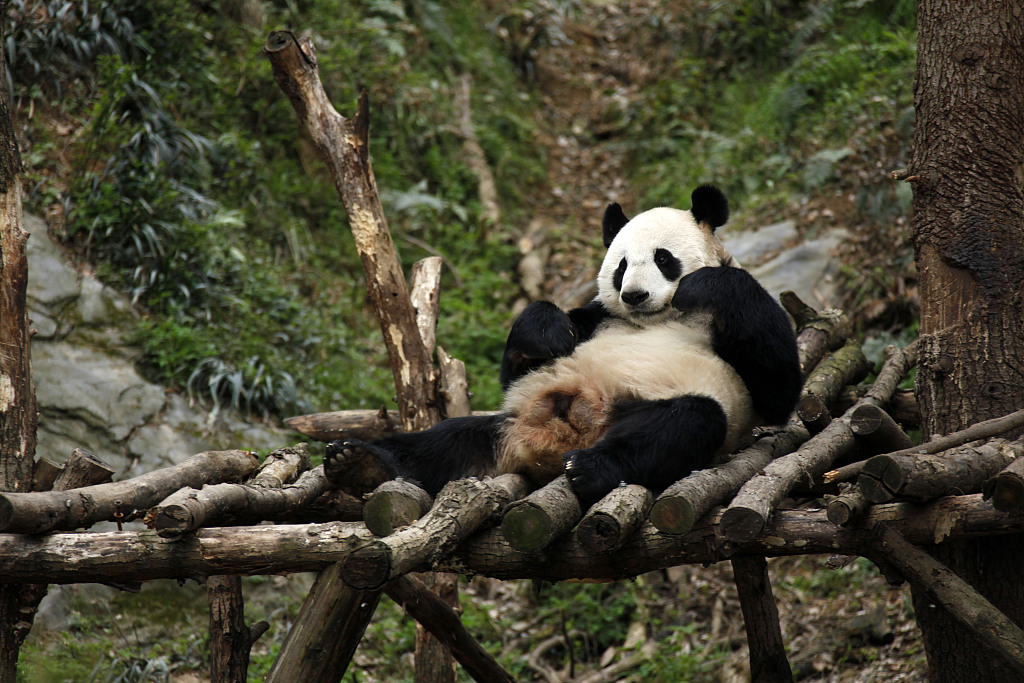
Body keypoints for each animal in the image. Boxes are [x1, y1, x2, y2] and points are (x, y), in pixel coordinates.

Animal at [323, 187, 802, 507]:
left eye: (663, 258)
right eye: (621, 266)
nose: (634, 296)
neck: (657, 317)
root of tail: (565, 433)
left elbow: (777, 389)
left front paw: (706, 284)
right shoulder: (600, 318)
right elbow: (525, 356)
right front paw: (551, 333)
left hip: (664, 405)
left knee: (681, 425)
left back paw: (591, 468)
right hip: (511, 418)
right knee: (446, 444)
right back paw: (359, 461)